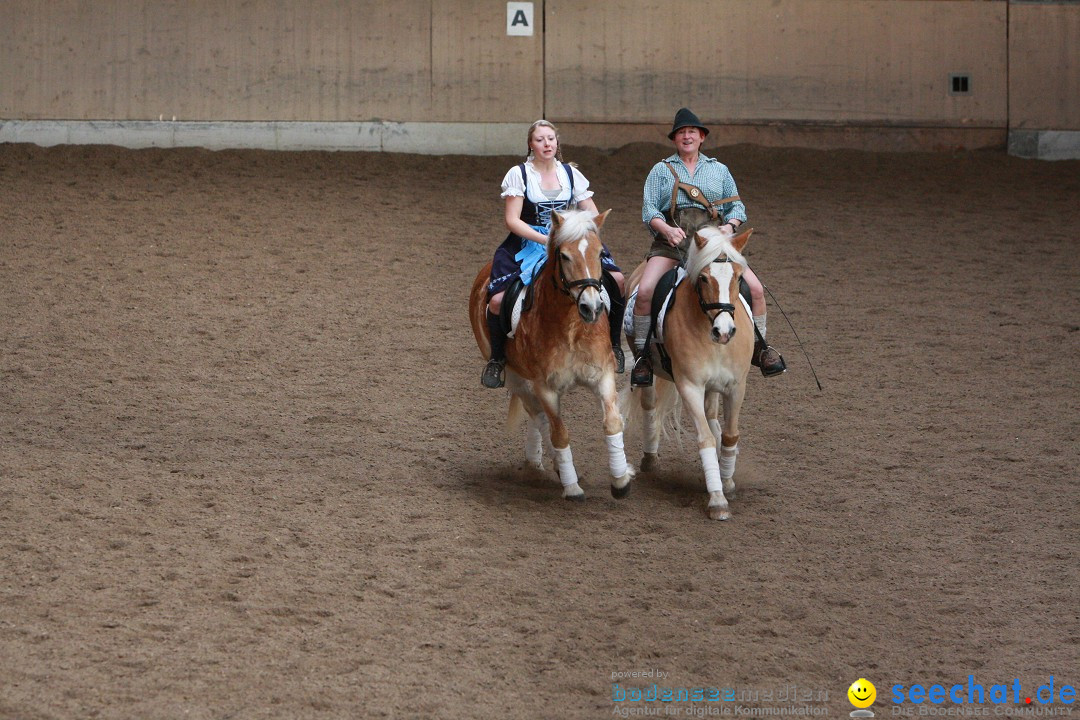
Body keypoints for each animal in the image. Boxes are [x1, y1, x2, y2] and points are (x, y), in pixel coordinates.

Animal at [466, 208, 630, 500]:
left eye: (600, 254)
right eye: (564, 256)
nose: (591, 307)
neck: (571, 327)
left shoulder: (603, 375)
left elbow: (612, 422)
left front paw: (621, 480)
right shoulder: (546, 387)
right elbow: (559, 433)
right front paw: (572, 487)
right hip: (516, 377)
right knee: (538, 414)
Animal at [630, 225, 756, 518]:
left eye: (739, 277)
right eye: (704, 279)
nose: (724, 331)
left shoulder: (736, 386)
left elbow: (730, 434)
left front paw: (727, 480)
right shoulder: (689, 386)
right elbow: (705, 439)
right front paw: (718, 500)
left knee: (712, 417)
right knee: (650, 405)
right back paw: (650, 459)